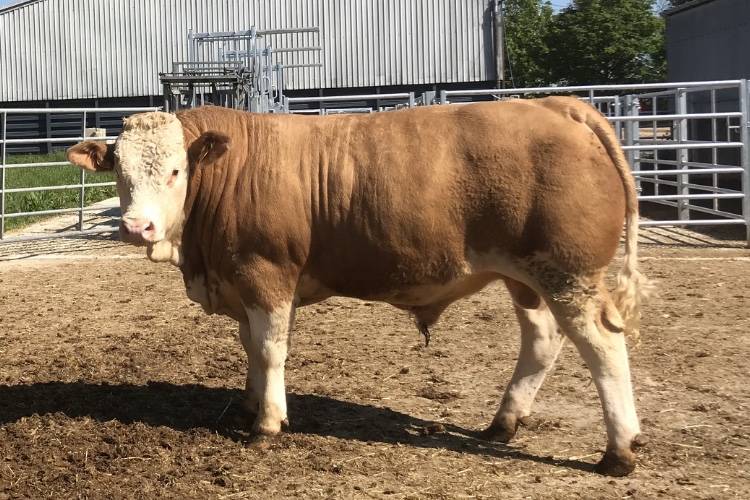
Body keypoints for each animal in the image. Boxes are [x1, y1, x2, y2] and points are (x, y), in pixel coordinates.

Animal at [67, 98, 651, 476]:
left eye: (174, 170)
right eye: (118, 171)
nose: (136, 227)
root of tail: (558, 105)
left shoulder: (266, 273)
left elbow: (270, 349)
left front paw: (268, 423)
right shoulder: (246, 284)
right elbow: (250, 348)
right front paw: (250, 404)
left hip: (567, 272)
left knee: (602, 345)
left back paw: (619, 451)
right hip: (523, 275)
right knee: (541, 339)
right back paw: (502, 424)